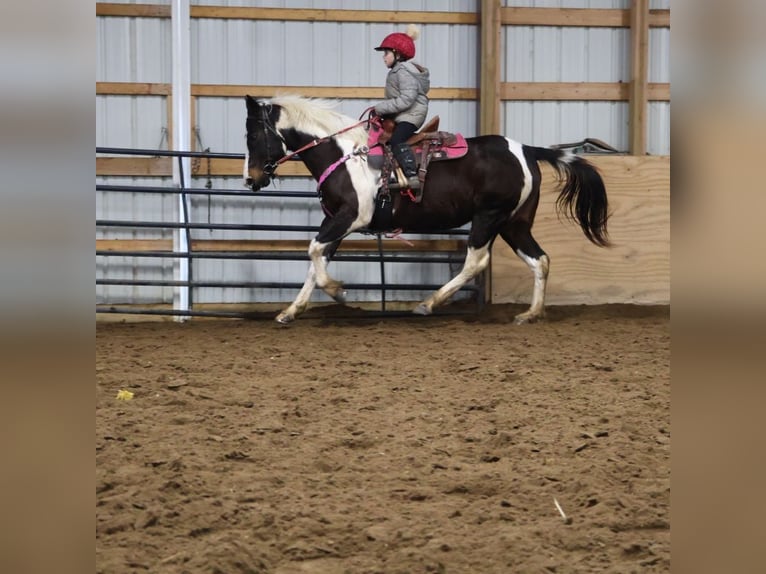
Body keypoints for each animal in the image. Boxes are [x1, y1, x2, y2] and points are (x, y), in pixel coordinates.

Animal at [243, 94, 610, 325]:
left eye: (253, 137)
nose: (251, 178)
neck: (345, 154)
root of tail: (526, 150)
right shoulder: (334, 220)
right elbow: (316, 257)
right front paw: (291, 311)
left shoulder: (350, 217)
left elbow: (314, 251)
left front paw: (337, 290)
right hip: (513, 223)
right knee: (540, 260)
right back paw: (531, 314)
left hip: (489, 217)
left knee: (476, 260)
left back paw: (428, 303)